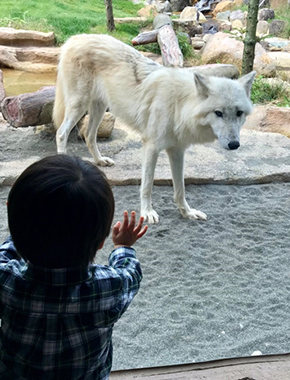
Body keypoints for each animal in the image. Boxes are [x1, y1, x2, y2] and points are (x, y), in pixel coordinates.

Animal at [53, 33, 255, 223]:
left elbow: (180, 188)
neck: (179, 105)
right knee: (61, 133)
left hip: (99, 108)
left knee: (89, 135)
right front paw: (147, 213)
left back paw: (100, 160)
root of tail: (75, 38)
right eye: (218, 113)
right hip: (79, 105)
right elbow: (147, 185)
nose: (234, 145)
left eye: (239, 113)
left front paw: (187, 213)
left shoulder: (177, 151)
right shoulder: (151, 146)